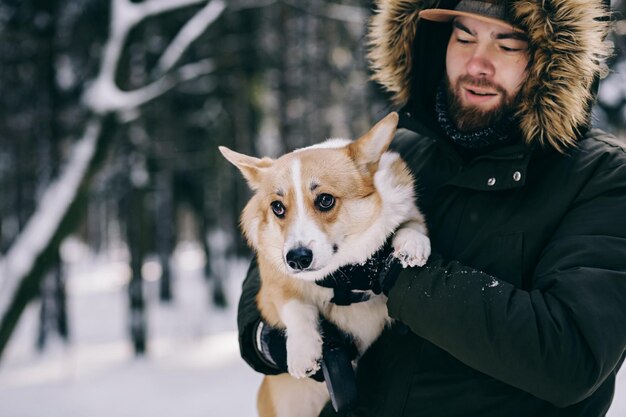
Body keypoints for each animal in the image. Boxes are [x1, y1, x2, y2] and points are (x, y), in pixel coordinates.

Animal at [219, 112, 428, 416]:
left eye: (325, 200)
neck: (339, 274)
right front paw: (302, 351)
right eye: (277, 207)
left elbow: (409, 225)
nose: (297, 258)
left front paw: (412, 244)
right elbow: (295, 307)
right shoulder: (271, 287)